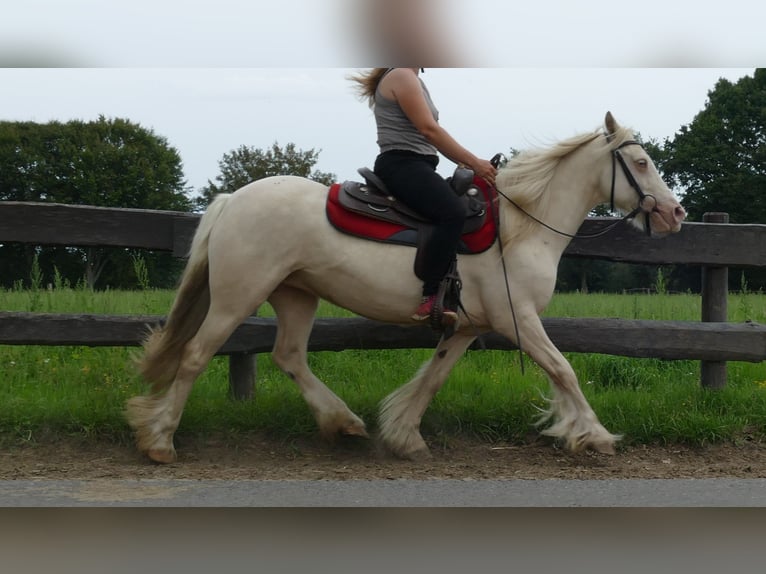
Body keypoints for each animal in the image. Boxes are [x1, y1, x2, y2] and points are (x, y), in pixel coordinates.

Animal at [129, 113, 688, 468]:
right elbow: (563, 370)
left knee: (289, 356)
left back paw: (343, 423)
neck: (522, 228)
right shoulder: (520, 320)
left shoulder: (467, 328)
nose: (675, 213)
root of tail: (232, 199)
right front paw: (594, 435)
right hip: (237, 296)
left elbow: (431, 380)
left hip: (295, 294)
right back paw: (159, 441)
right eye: (641, 163)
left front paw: (403, 437)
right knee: (196, 355)